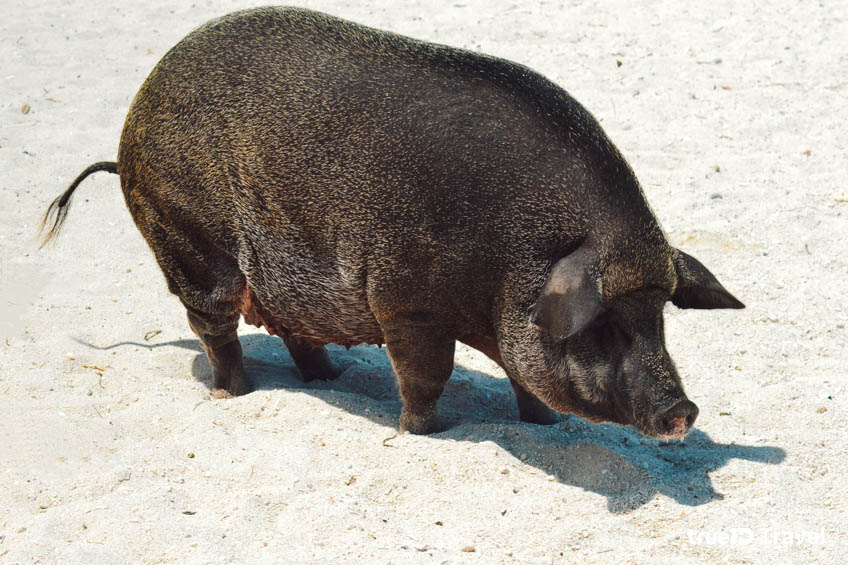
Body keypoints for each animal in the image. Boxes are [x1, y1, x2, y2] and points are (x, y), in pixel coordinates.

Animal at [41, 7, 744, 438]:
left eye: (658, 317)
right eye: (604, 324)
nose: (684, 410)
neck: (510, 264)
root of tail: (131, 125)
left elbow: (525, 382)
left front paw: (547, 428)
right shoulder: (406, 300)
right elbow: (427, 375)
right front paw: (423, 433)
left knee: (296, 333)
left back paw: (335, 380)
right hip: (188, 241)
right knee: (215, 329)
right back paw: (233, 396)